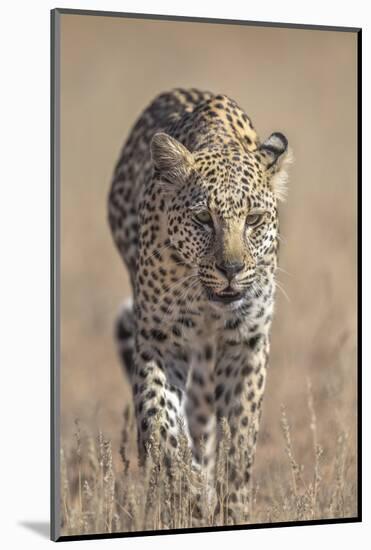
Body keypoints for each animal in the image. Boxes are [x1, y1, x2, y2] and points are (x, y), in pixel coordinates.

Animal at [108, 87, 294, 528]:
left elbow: (239, 437)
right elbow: (160, 425)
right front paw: (188, 491)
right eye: (203, 219)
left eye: (254, 219)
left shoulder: (246, 342)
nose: (231, 269)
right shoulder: (159, 339)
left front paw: (232, 506)